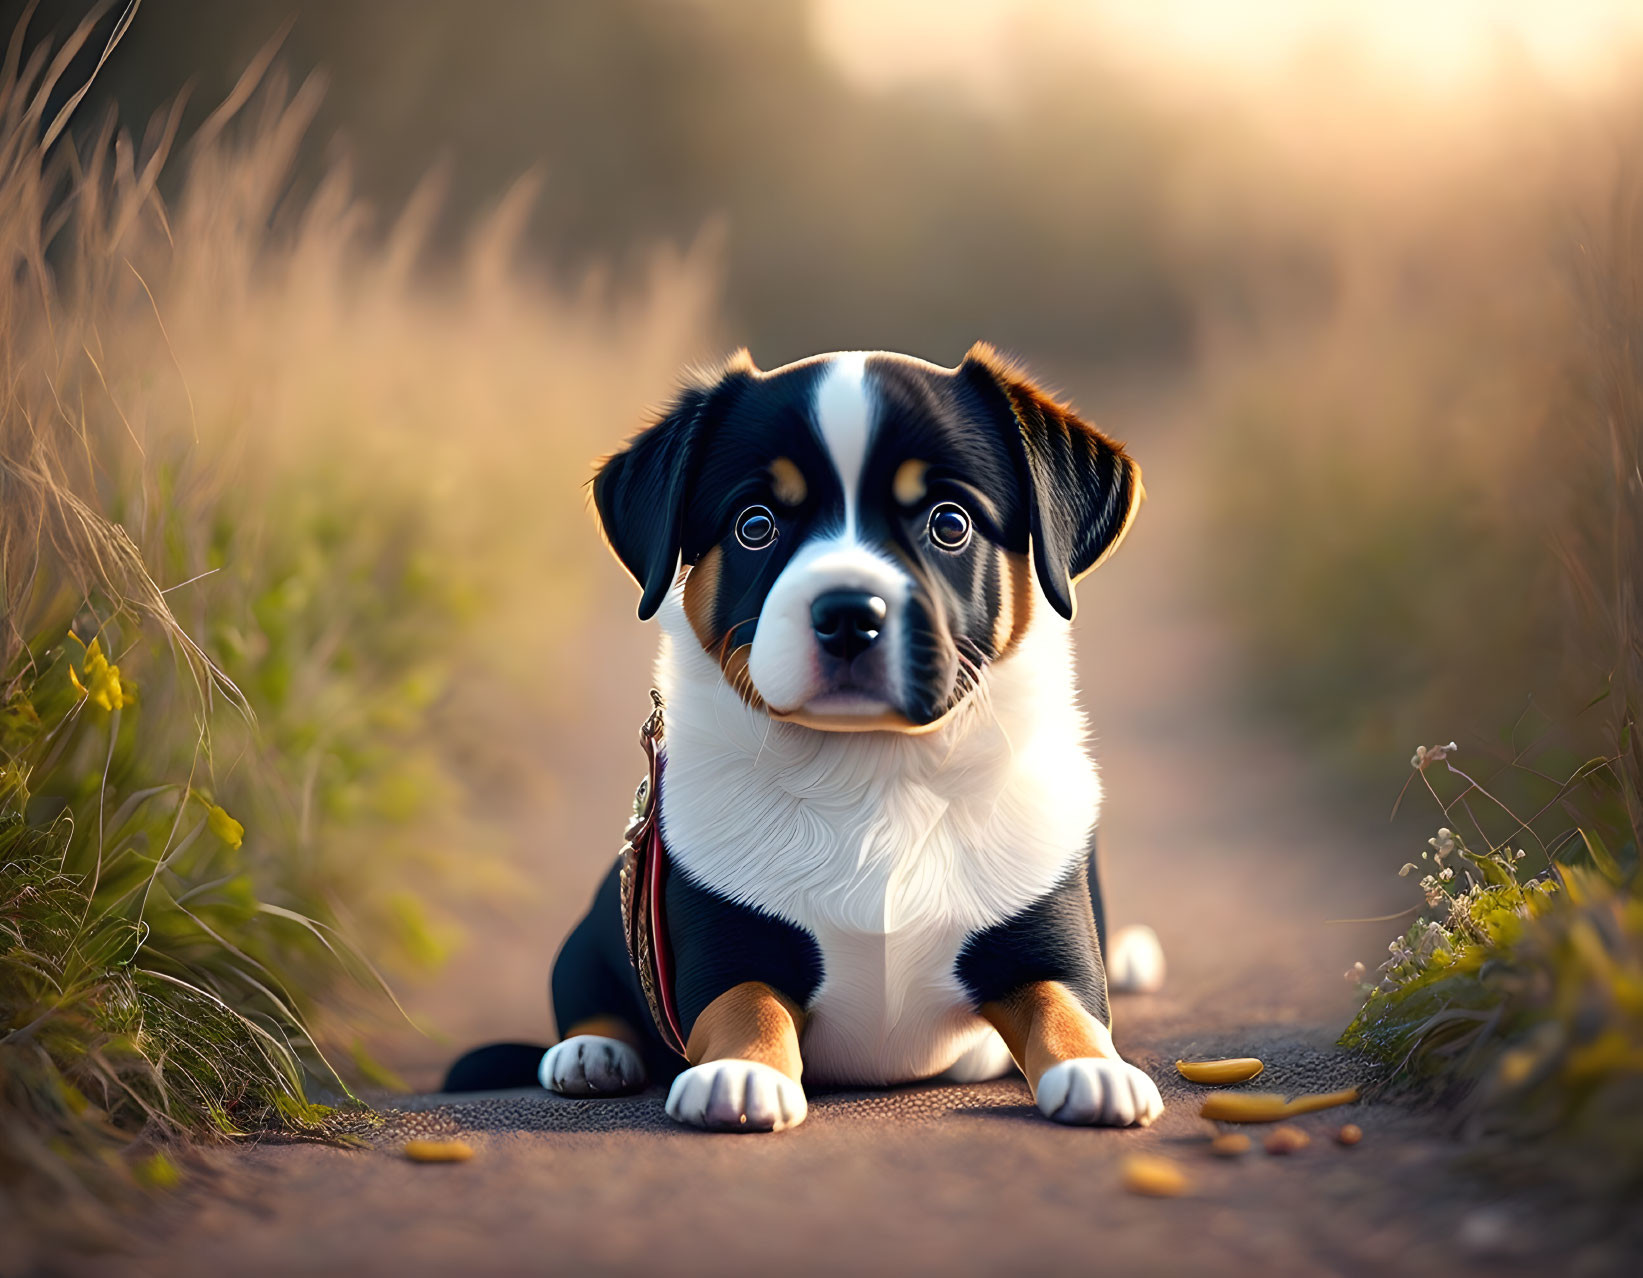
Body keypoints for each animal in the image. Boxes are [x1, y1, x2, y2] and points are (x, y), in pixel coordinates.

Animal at [453, 341, 1169, 1123]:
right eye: (755, 525)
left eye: (950, 524)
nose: (848, 614)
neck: (872, 771)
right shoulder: (720, 948)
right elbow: (745, 1004)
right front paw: (741, 1073)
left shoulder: (1044, 938)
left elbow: (1065, 1004)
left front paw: (1097, 1068)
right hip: (607, 911)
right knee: (584, 983)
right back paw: (590, 1052)